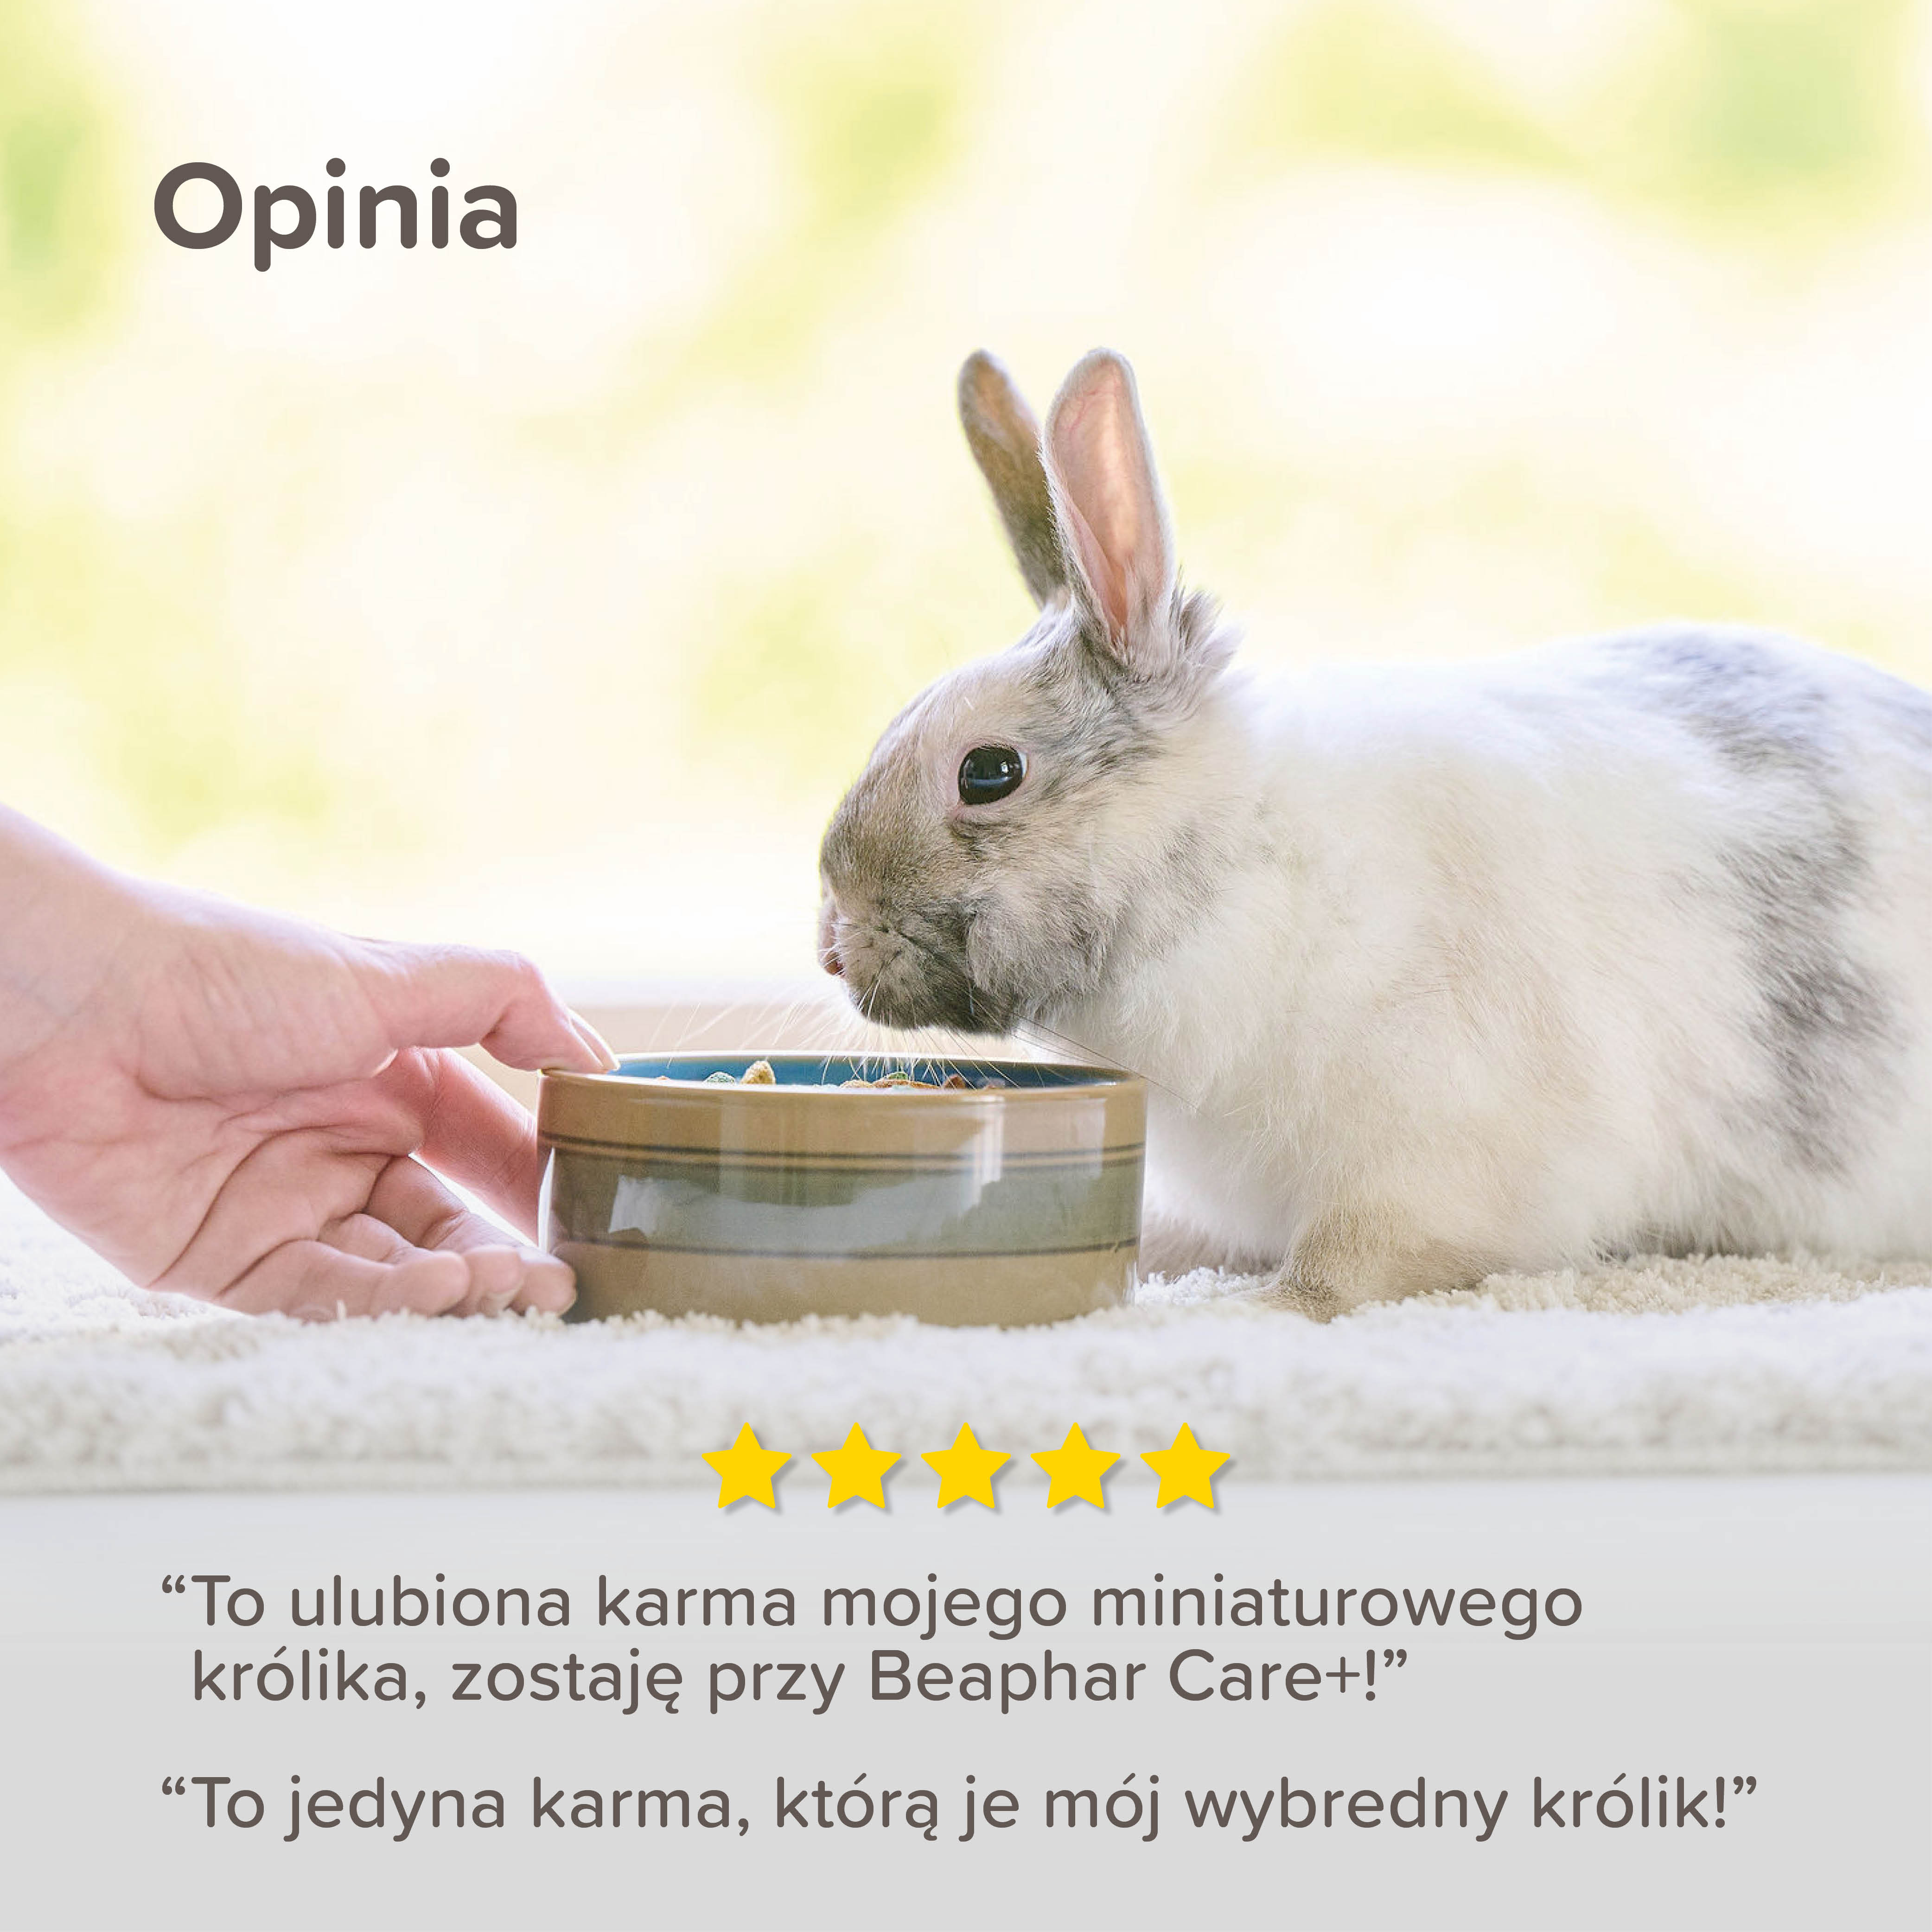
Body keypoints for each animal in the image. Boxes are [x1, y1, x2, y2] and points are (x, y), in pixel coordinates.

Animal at [816, 347, 1932, 1314]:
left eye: (988, 773)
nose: (831, 948)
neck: (1234, 869)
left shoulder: (1434, 1161)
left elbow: (1345, 1263)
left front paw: (1256, 1312)